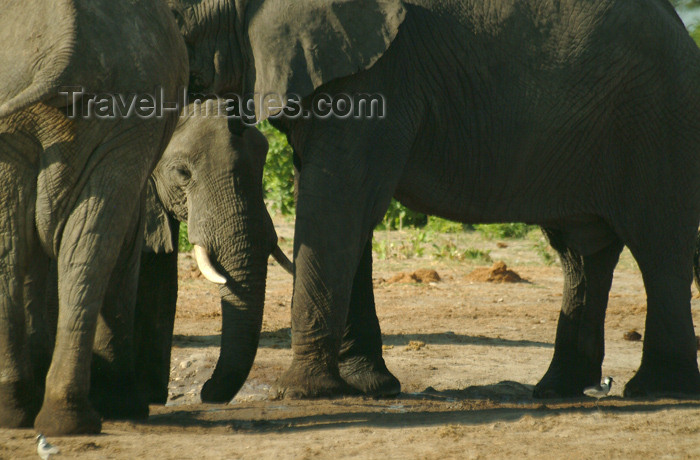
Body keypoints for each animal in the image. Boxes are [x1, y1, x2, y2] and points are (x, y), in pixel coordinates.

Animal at [167, 0, 700, 402]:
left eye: (171, 17)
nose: (208, 395)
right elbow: (341, 210)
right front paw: (372, 388)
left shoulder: (375, 79)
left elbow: (338, 202)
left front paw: (303, 392)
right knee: (582, 253)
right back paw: (557, 389)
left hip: (659, 119)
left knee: (659, 249)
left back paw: (657, 390)